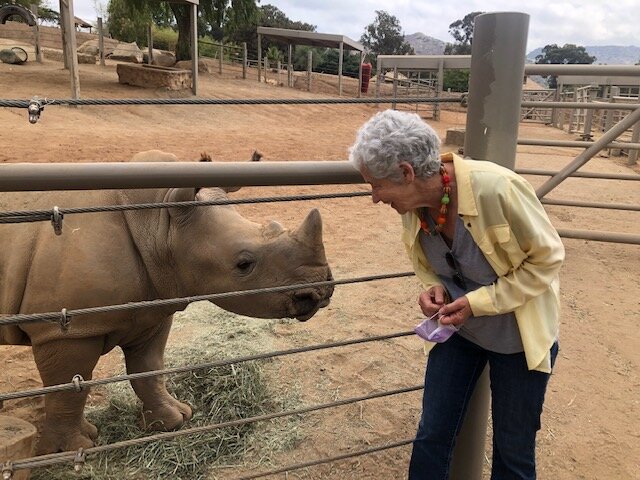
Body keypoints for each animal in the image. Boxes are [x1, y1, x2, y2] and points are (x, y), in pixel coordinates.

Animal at [0, 150, 334, 454]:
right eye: (243, 264)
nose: (321, 291)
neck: (159, 224)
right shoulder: (67, 328)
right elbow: (68, 388)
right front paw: (71, 450)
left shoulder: (152, 307)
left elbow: (149, 369)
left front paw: (175, 420)